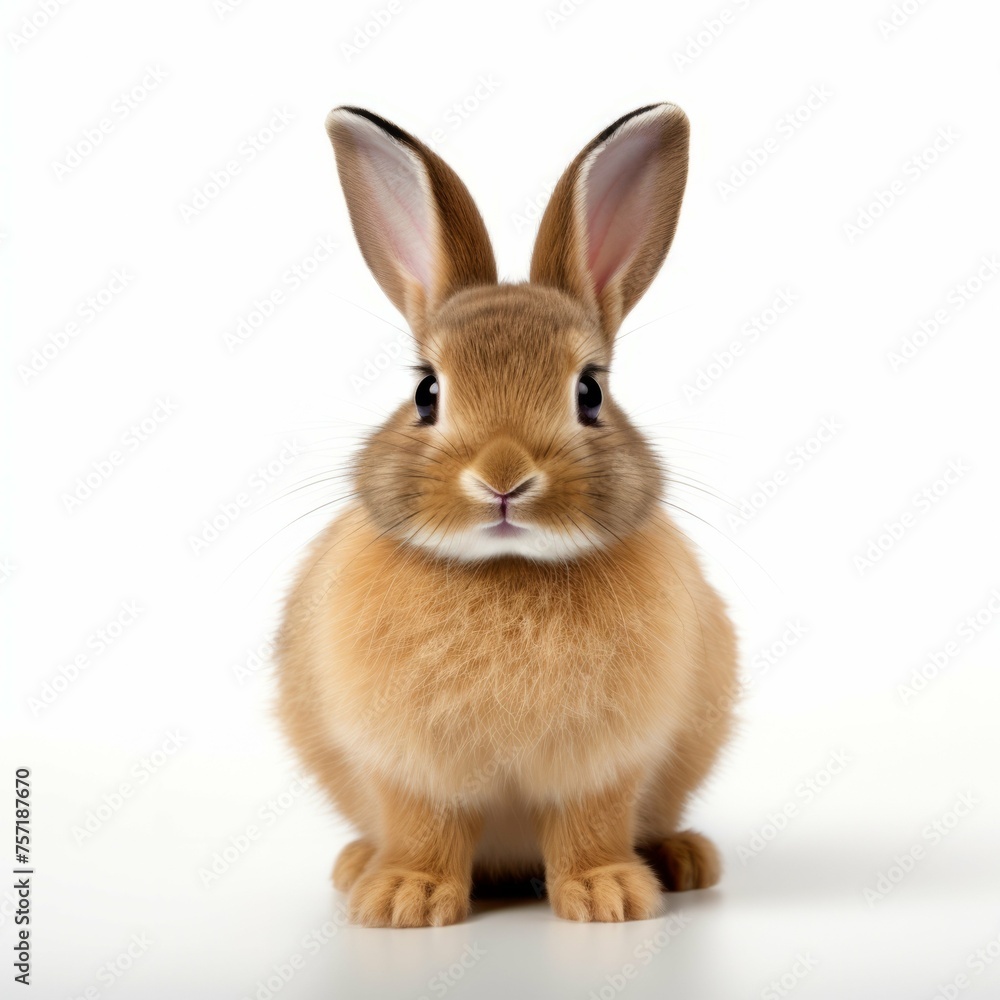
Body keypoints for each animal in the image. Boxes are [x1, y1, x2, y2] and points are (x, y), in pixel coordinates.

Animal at [277, 102, 738, 927]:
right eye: (426, 392)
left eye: (589, 391)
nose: (503, 479)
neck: (506, 568)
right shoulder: (409, 765)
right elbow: (423, 824)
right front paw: (405, 899)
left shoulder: (603, 763)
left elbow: (590, 823)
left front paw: (607, 896)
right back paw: (359, 865)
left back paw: (683, 858)